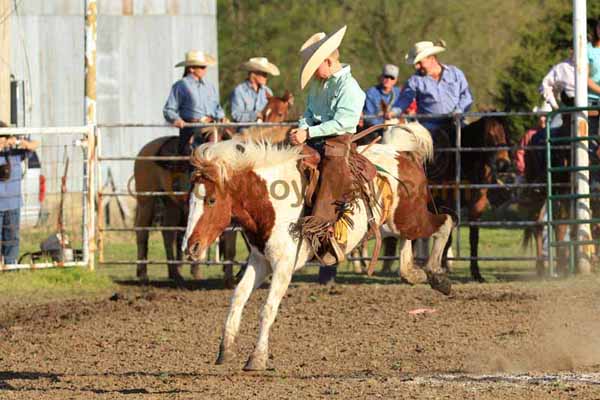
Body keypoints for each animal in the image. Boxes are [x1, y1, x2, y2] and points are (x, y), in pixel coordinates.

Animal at [132, 91, 294, 284]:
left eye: (281, 113)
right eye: (264, 113)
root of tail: (145, 149)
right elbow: (231, 247)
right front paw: (230, 276)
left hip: (171, 203)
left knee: (168, 232)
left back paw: (175, 274)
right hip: (146, 199)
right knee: (142, 231)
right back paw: (143, 273)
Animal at [180, 122, 452, 372]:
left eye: (211, 200)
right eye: (189, 200)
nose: (190, 247)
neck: (270, 203)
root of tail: (400, 153)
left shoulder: (283, 265)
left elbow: (267, 308)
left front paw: (257, 358)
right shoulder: (260, 261)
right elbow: (238, 296)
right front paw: (225, 349)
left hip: (410, 218)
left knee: (446, 221)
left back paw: (438, 276)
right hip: (393, 224)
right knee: (407, 241)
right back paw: (414, 273)